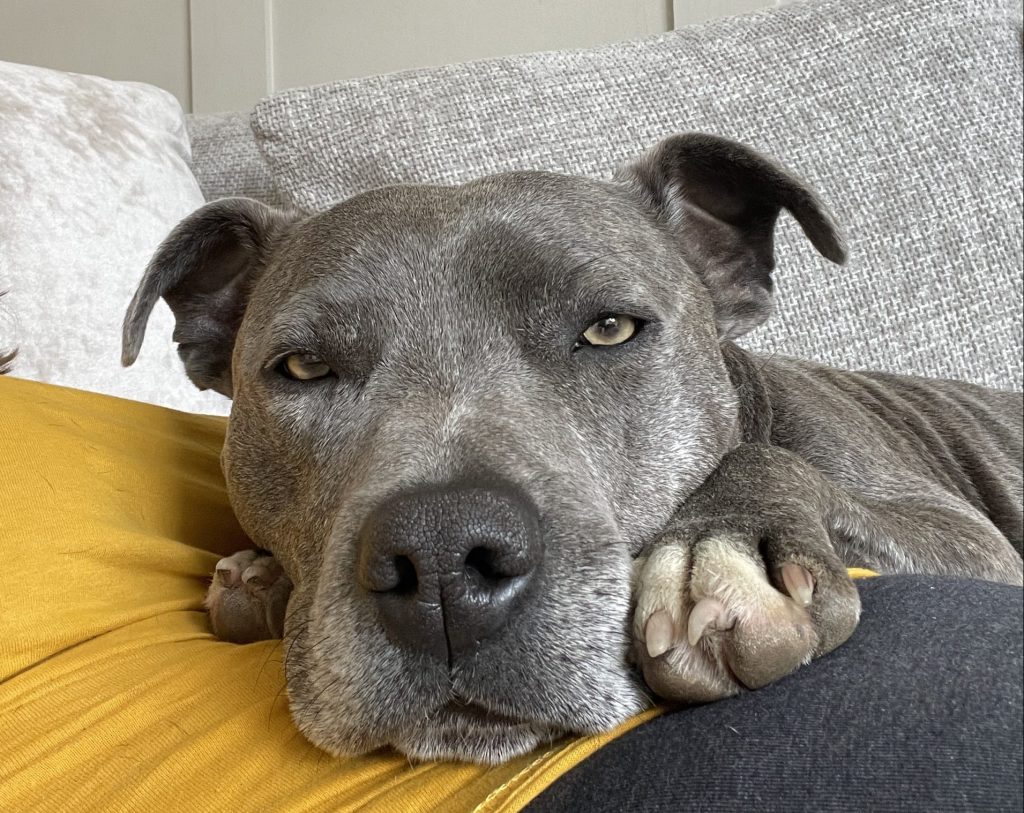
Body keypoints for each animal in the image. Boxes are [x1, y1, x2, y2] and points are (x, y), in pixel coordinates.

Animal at [121, 131, 1024, 761]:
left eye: (610, 328)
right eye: (303, 366)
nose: (442, 559)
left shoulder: (965, 536)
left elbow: (767, 460)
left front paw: (722, 544)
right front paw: (264, 579)